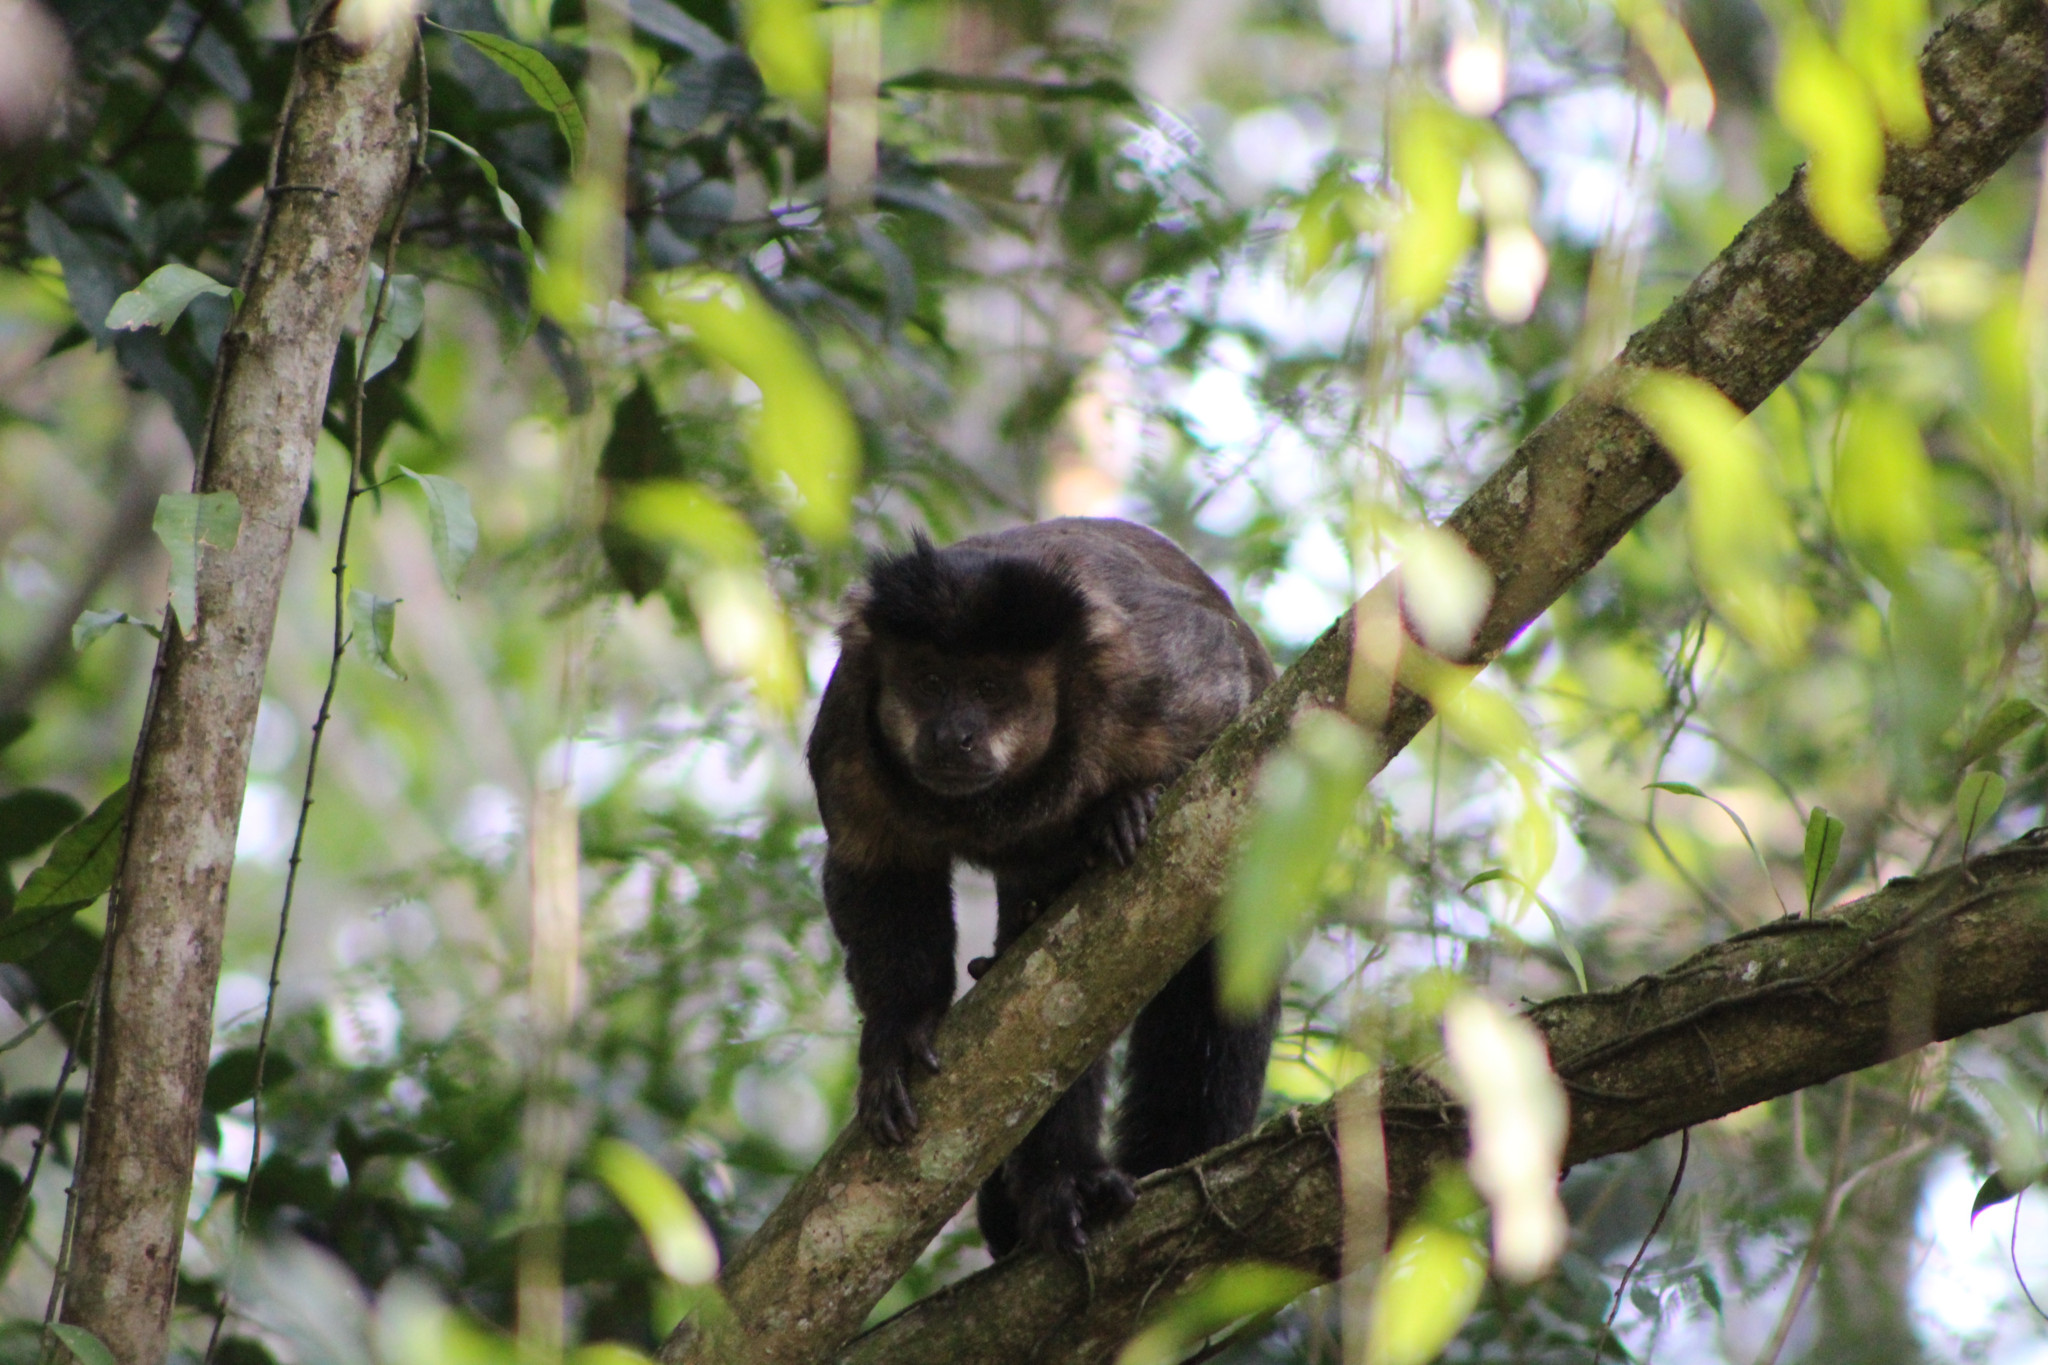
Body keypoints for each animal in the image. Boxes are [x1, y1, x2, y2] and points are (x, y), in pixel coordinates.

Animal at [805, 517, 1280, 1257]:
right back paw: (1058, 1189)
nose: (954, 735)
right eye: (929, 680)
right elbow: (876, 871)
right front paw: (899, 1031)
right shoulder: (850, 720)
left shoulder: (1146, 675)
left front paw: (1131, 802)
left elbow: (1223, 716)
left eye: (992, 688)